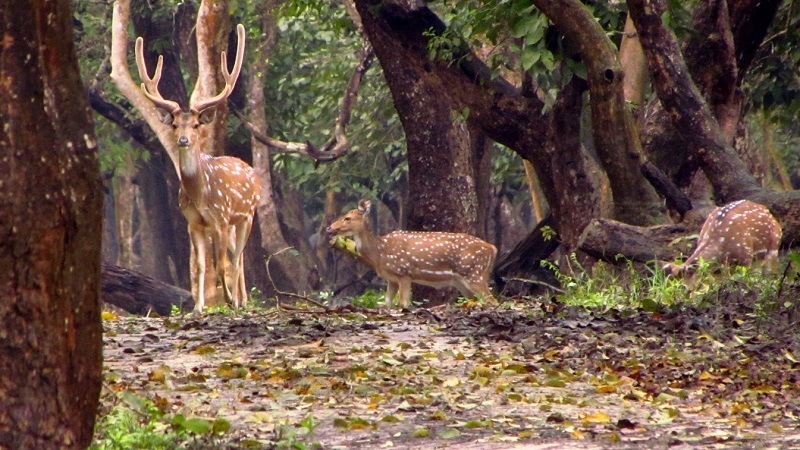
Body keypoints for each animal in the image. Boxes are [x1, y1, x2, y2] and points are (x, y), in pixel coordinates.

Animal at [134, 25, 260, 312]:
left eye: (195, 125)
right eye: (174, 125)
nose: (183, 140)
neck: (202, 194)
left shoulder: (221, 218)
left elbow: (222, 265)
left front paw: (228, 300)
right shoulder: (194, 223)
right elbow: (202, 266)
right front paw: (199, 307)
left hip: (247, 215)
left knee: (237, 257)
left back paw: (240, 300)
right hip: (234, 223)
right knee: (239, 256)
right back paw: (243, 299)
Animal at [324, 200, 494, 310]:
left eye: (347, 218)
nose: (329, 228)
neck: (380, 253)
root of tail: (492, 248)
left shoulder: (404, 273)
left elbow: (403, 304)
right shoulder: (391, 278)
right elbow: (387, 303)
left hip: (475, 273)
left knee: (492, 300)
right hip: (462, 282)